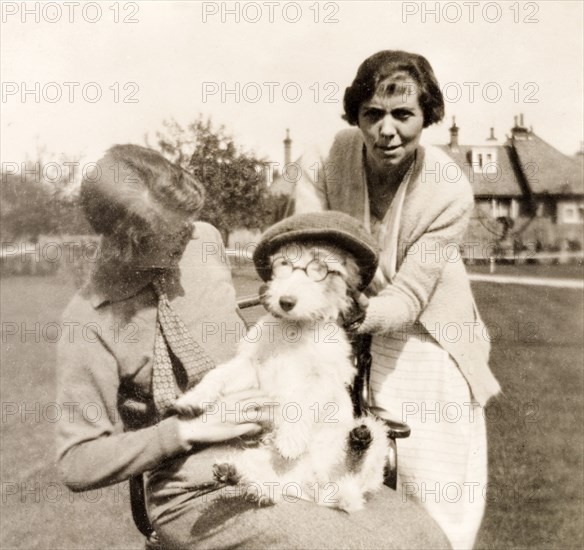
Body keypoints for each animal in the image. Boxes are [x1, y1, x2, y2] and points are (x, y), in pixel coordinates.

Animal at [176, 232, 390, 512]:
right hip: (261, 459)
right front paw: (193, 399)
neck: (295, 328)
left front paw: (290, 441)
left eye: (320, 268)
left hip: (372, 438)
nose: (286, 302)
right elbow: (218, 375)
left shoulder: (319, 379)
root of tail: (316, 493)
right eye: (283, 264)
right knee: (269, 491)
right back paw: (232, 472)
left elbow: (298, 405)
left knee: (358, 474)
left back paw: (359, 440)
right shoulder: (250, 365)